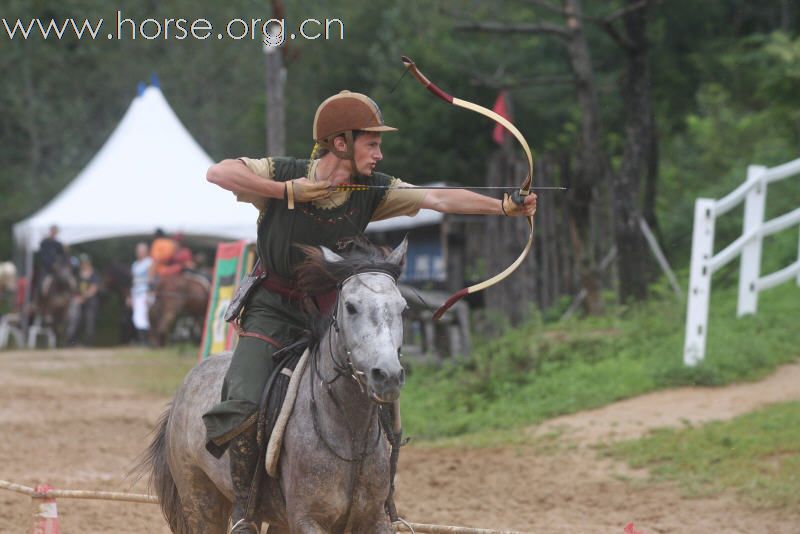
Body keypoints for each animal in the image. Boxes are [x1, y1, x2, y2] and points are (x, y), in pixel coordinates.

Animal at [138, 241, 410, 532]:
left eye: (402, 308)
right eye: (350, 307)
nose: (387, 375)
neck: (349, 431)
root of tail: (186, 385)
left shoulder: (374, 519)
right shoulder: (306, 519)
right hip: (200, 500)